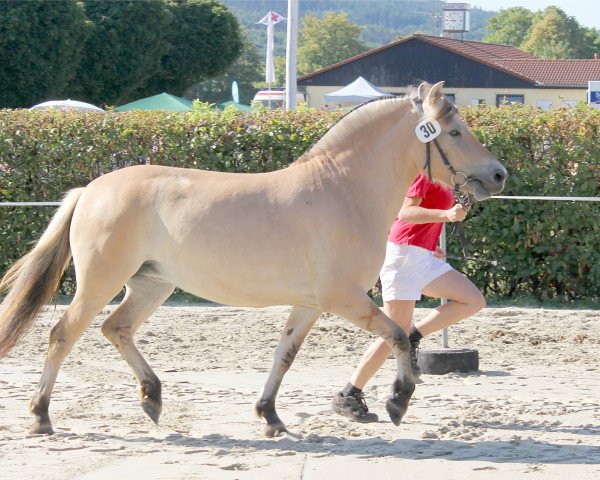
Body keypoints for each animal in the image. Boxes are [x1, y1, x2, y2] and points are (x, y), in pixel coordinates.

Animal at [0, 81, 506, 436]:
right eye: (455, 131)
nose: (498, 174)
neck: (342, 190)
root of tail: (90, 190)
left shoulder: (309, 305)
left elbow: (284, 355)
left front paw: (270, 416)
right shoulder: (345, 299)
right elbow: (398, 335)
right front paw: (399, 401)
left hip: (151, 284)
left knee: (115, 328)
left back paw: (152, 398)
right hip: (100, 281)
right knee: (63, 335)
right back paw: (42, 417)